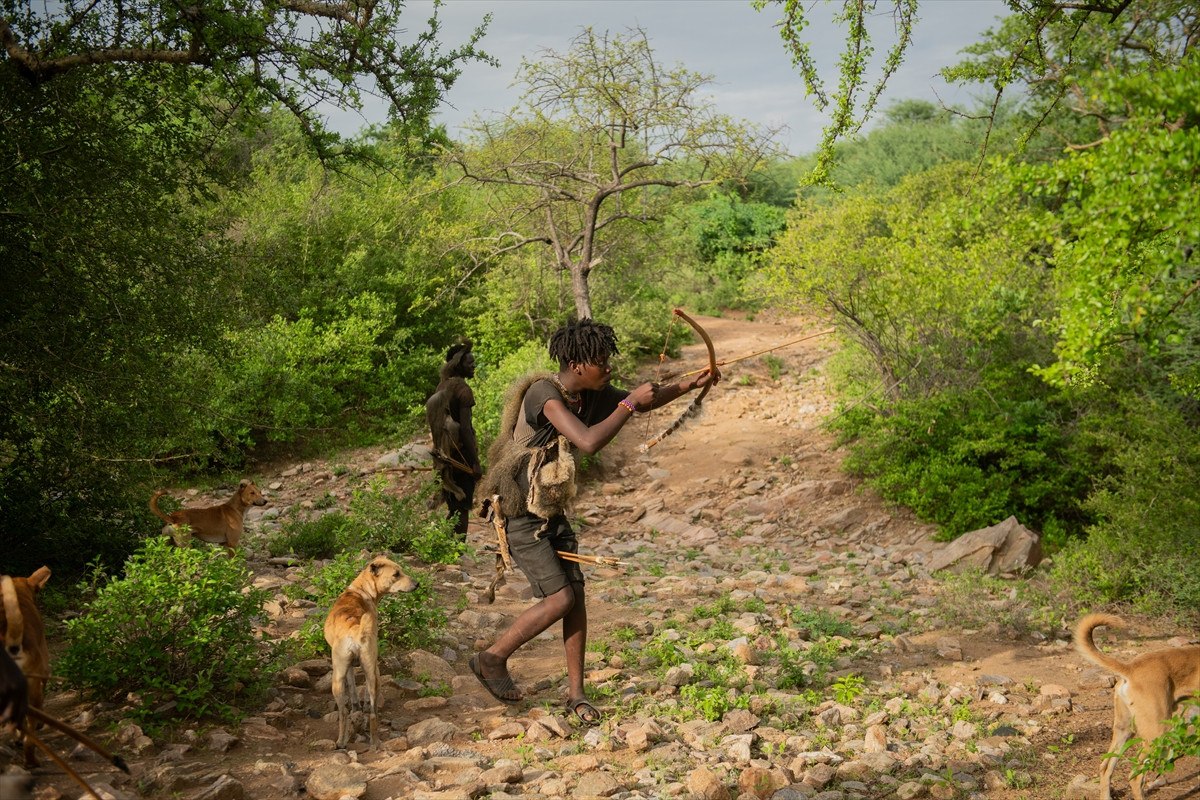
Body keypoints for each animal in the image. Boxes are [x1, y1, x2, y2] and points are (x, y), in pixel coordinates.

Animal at [324, 556, 417, 753]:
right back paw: (373, 741)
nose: (417, 584)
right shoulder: (353, 668)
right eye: (396, 574)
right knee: (373, 713)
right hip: (363, 673)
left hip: (354, 673)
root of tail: (354, 629)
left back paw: (341, 742)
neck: (362, 590)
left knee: (344, 712)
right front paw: (358, 707)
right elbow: (355, 690)